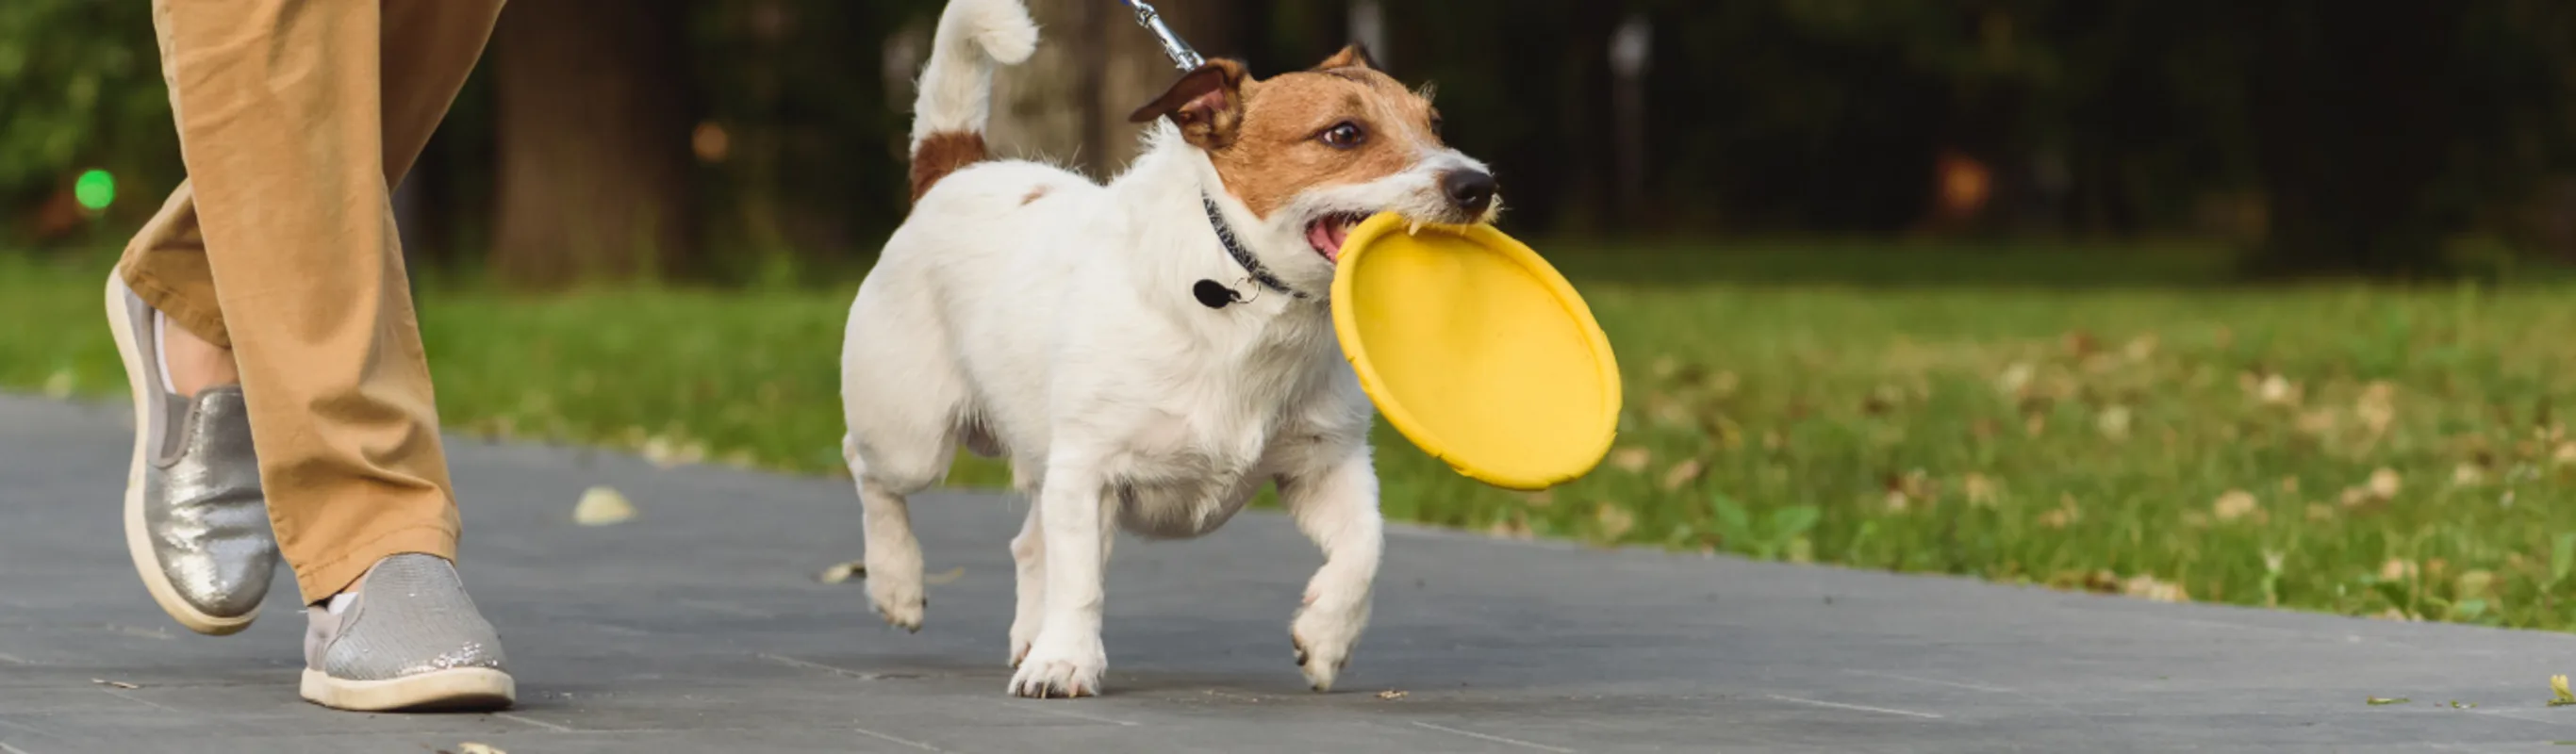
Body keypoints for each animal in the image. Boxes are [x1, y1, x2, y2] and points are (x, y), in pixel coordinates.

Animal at [834, 0, 1504, 695]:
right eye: (1344, 134)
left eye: (1434, 124)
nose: (1477, 185)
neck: (1244, 301)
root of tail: (955, 171)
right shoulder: (1088, 470)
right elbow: (1081, 584)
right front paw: (1066, 661)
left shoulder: (1327, 465)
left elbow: (1366, 545)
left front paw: (1326, 637)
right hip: (912, 436)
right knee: (867, 466)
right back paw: (897, 584)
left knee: (1030, 543)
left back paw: (1026, 634)